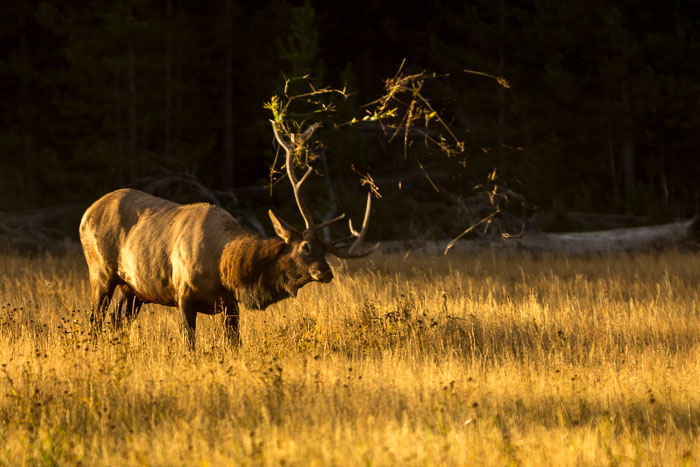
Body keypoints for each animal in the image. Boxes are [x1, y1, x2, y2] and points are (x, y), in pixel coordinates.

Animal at [78, 122, 374, 350]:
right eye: (305, 247)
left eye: (325, 250)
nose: (325, 271)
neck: (224, 266)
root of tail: (85, 214)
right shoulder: (183, 294)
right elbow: (189, 344)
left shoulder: (231, 305)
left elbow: (234, 344)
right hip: (100, 271)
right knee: (96, 319)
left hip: (133, 288)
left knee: (118, 322)